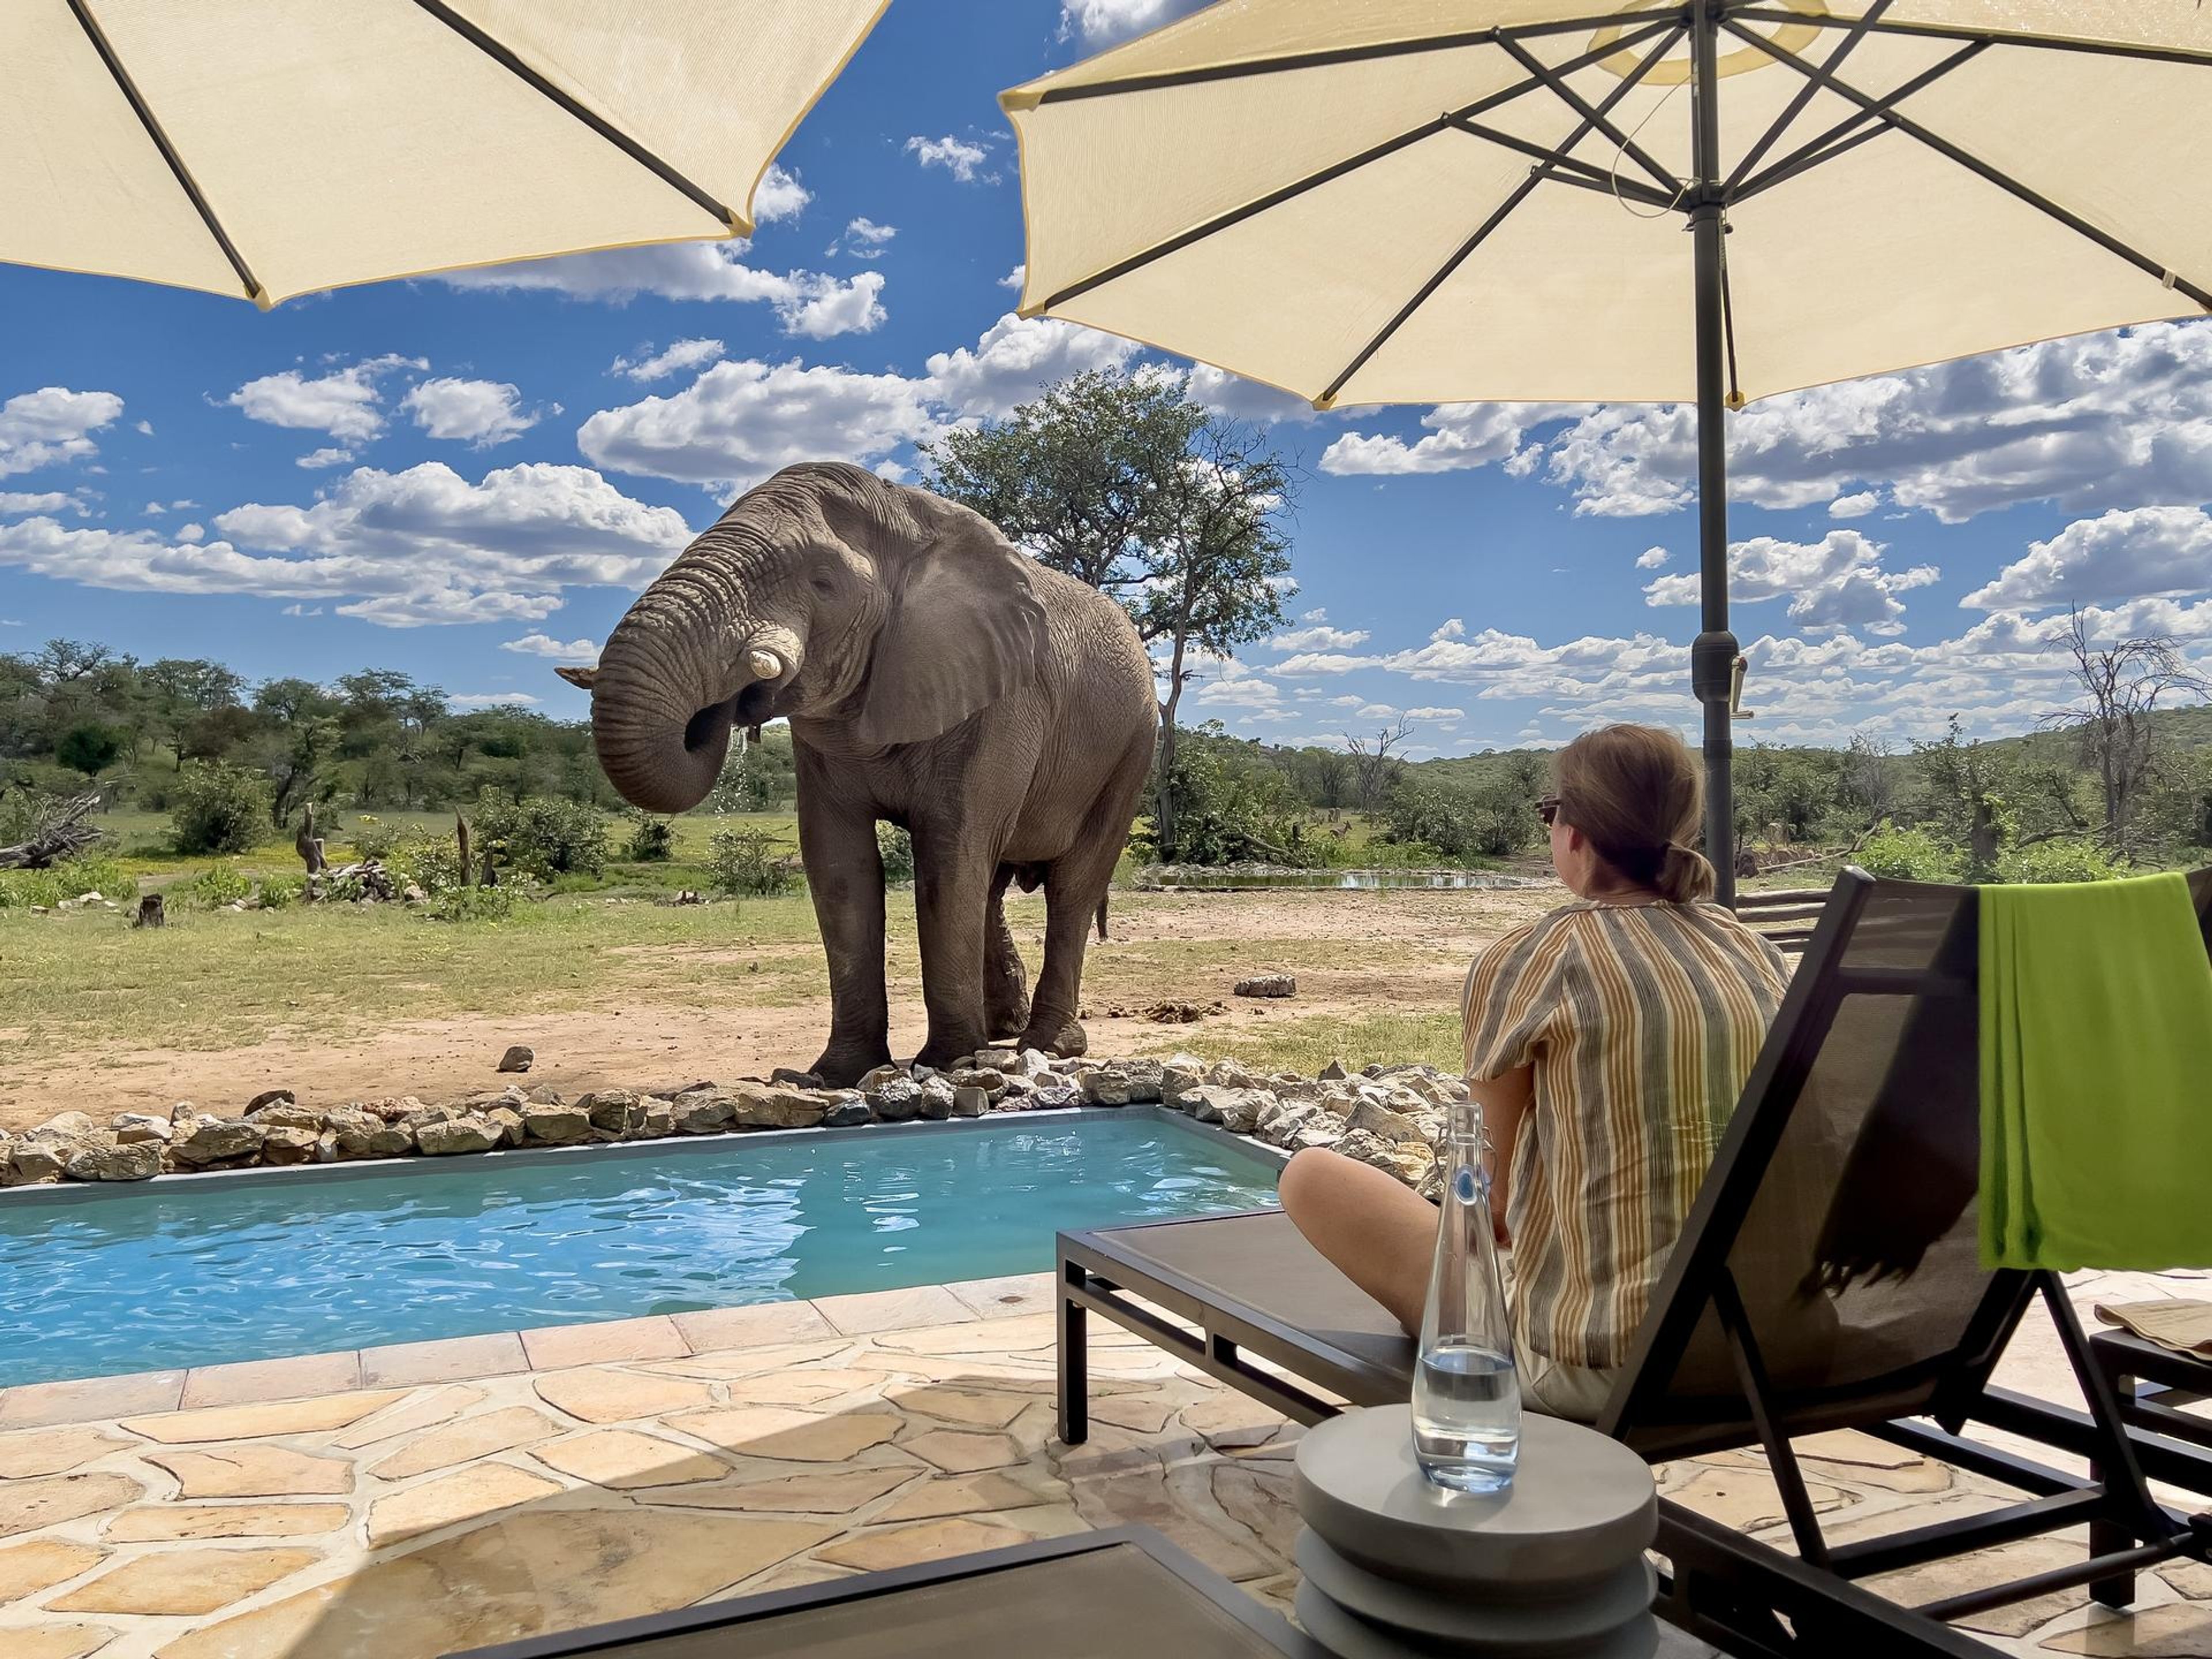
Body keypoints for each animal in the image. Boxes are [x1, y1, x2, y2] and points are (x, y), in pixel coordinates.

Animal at [566, 469, 1159, 1092]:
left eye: (824, 583)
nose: (735, 698)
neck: (907, 513)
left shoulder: (1003, 705)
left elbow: (948, 858)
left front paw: (949, 1067)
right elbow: (840, 865)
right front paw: (835, 1075)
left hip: (1134, 748)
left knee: (1072, 885)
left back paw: (1047, 1046)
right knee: (994, 884)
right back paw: (1002, 1032)